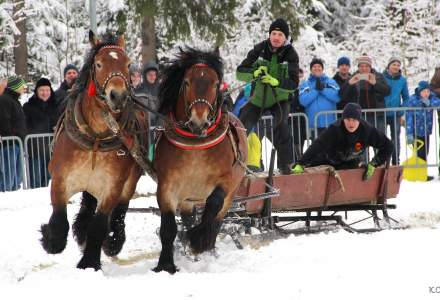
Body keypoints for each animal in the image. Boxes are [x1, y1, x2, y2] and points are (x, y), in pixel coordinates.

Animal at [40, 31, 145, 270]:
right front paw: (50, 239)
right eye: (98, 64)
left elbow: (99, 225)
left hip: (128, 182)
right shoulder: (60, 179)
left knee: (120, 211)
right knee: (87, 206)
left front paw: (89, 262)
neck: (96, 139)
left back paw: (113, 241)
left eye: (128, 63)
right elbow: (59, 219)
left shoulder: (112, 186)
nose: (118, 96)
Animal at [153, 47, 248, 274]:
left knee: (218, 219)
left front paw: (198, 240)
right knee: (188, 218)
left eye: (215, 84)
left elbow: (212, 207)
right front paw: (166, 265)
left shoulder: (225, 181)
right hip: (187, 198)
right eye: (187, 82)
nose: (199, 121)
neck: (196, 143)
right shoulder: (167, 186)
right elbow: (168, 227)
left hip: (232, 192)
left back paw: (208, 247)